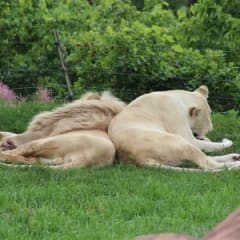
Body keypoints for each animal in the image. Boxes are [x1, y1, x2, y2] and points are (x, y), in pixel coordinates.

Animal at [108, 85, 240, 172]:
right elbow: (214, 145)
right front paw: (225, 141)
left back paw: (235, 157)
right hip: (181, 142)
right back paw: (236, 163)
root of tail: (139, 159)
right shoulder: (187, 136)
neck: (178, 97)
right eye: (209, 113)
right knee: (209, 164)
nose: (211, 128)